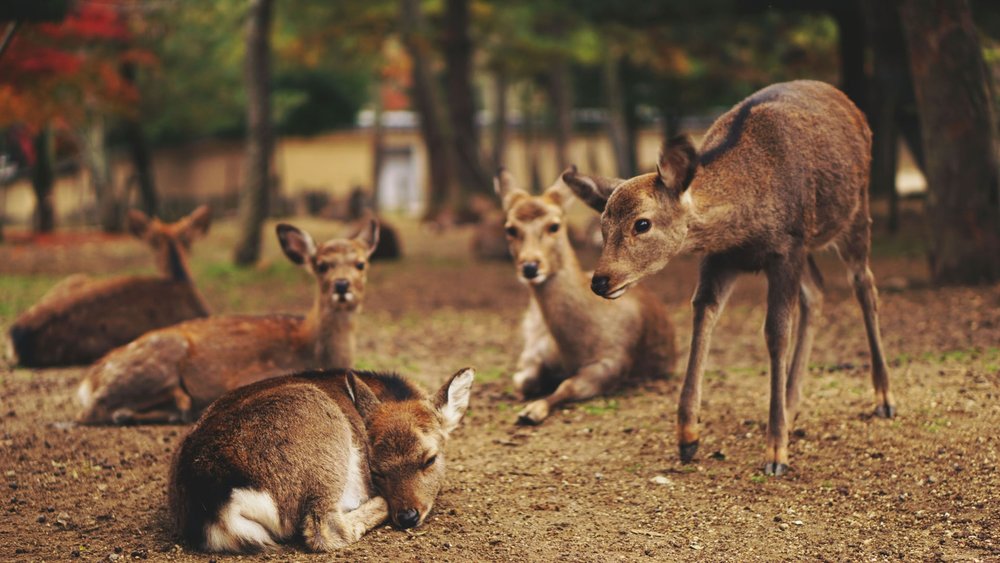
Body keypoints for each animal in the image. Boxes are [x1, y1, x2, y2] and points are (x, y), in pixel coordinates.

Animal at [76, 219, 380, 425]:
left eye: (361, 263)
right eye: (321, 265)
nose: (342, 285)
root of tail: (87, 382)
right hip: (158, 360)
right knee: (93, 411)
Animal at [494, 168, 677, 425]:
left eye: (554, 225)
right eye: (510, 228)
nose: (530, 267)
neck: (573, 348)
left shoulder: (613, 361)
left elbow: (568, 386)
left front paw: (532, 411)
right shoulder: (535, 350)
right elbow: (523, 379)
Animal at [563, 80, 894, 476]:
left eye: (642, 223)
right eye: (603, 225)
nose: (600, 280)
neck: (743, 225)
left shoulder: (786, 248)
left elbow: (775, 333)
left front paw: (776, 452)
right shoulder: (721, 257)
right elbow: (703, 315)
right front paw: (687, 437)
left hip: (854, 213)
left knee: (864, 286)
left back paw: (884, 398)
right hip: (811, 246)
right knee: (817, 290)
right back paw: (792, 403)